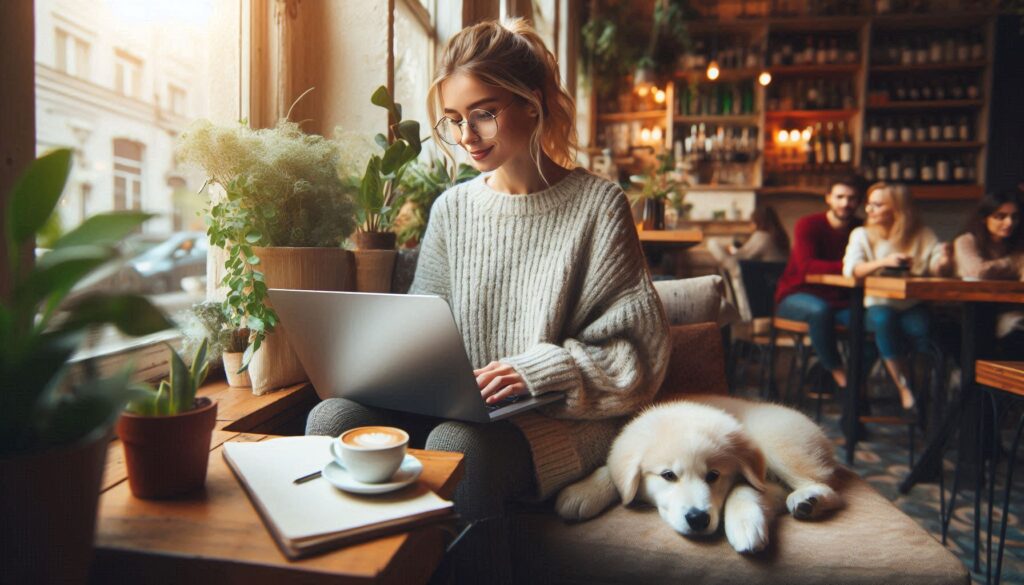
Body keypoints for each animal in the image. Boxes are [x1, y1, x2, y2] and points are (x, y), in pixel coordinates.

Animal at [561, 393, 839, 553]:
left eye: (713, 475)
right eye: (668, 475)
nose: (698, 519)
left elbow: (743, 489)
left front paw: (744, 524)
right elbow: (611, 467)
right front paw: (581, 492)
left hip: (776, 441)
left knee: (825, 487)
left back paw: (808, 500)